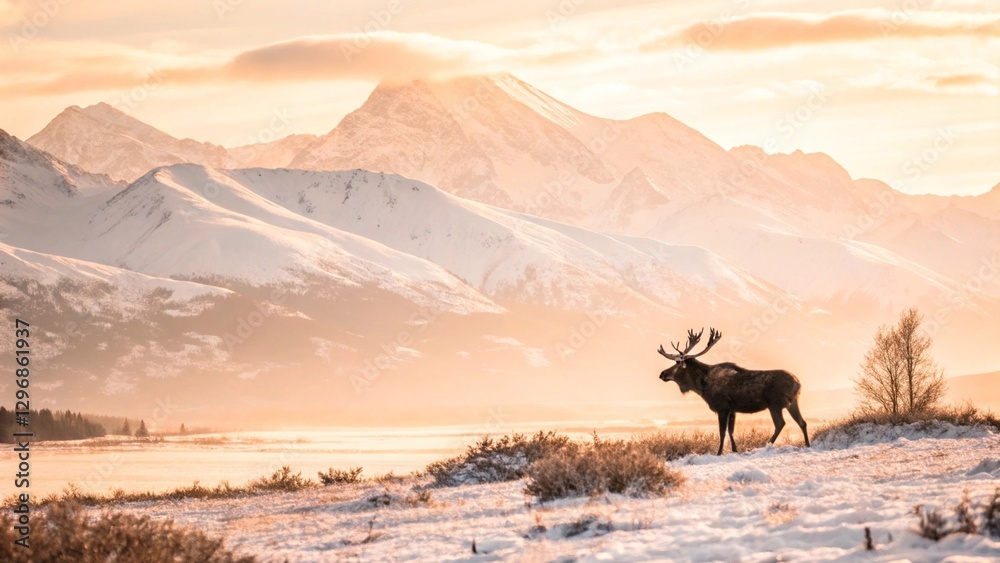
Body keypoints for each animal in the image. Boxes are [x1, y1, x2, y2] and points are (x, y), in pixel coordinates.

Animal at [657, 328, 809, 455]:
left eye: (677, 364)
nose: (662, 374)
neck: (702, 386)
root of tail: (798, 383)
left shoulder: (722, 407)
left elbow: (722, 432)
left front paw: (719, 453)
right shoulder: (732, 409)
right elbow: (731, 431)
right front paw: (735, 450)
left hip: (775, 403)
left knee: (780, 424)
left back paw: (766, 445)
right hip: (793, 402)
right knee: (802, 422)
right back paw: (807, 445)